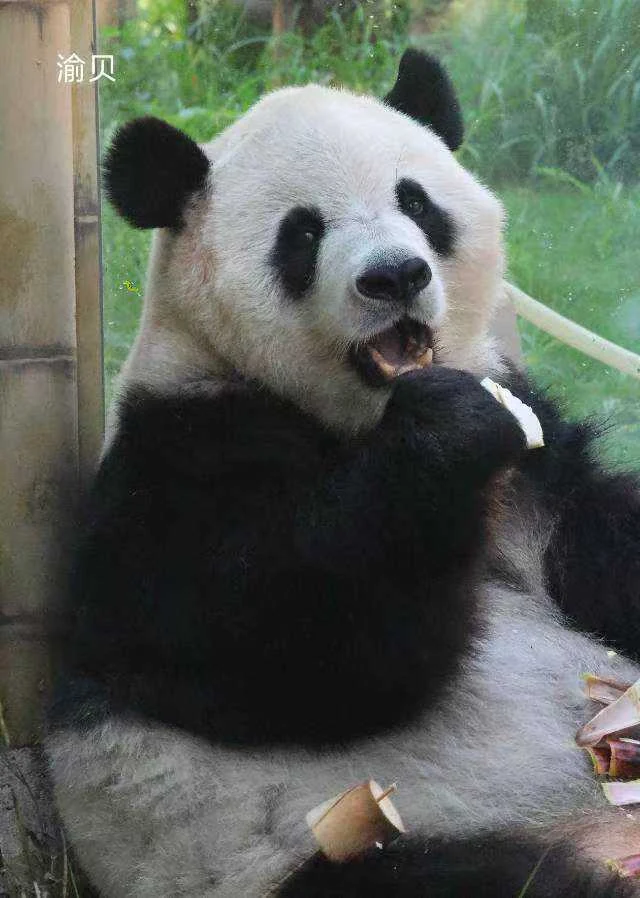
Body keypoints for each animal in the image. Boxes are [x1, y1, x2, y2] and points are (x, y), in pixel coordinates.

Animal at [46, 50, 640, 897]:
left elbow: (595, 548)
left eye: (415, 201)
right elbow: (297, 649)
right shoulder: (175, 460)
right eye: (302, 233)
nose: (395, 276)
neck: (358, 417)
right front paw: (449, 433)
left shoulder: (536, 462)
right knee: (494, 878)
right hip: (320, 854)